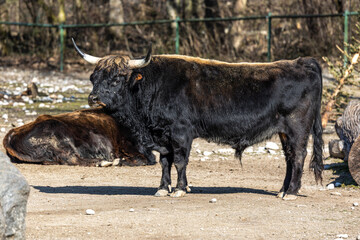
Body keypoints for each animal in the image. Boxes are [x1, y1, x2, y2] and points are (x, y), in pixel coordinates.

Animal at [3, 108, 154, 166]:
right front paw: (119, 161)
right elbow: (142, 159)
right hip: (62, 139)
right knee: (72, 158)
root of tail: (12, 133)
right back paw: (101, 162)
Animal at [72, 39, 324, 201]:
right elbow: (165, 162)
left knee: (298, 156)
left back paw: (291, 193)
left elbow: (180, 161)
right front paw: (163, 188)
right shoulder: (163, 136)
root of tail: (302, 62)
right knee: (290, 158)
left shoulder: (181, 132)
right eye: (93, 77)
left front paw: (180, 189)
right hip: (284, 131)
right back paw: (282, 190)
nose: (93, 98)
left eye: (117, 79)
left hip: (297, 128)